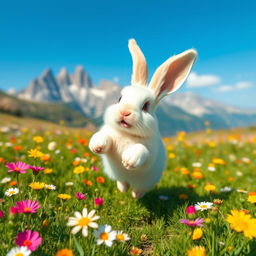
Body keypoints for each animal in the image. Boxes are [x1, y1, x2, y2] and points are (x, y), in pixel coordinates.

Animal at [89, 39, 197, 198]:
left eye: (145, 106)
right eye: (120, 98)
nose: (125, 112)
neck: (127, 134)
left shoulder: (150, 153)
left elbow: (141, 150)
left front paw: (128, 161)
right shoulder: (110, 135)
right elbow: (105, 138)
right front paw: (96, 145)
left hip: (146, 183)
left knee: (139, 190)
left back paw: (135, 194)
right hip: (121, 178)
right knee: (122, 183)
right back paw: (123, 189)